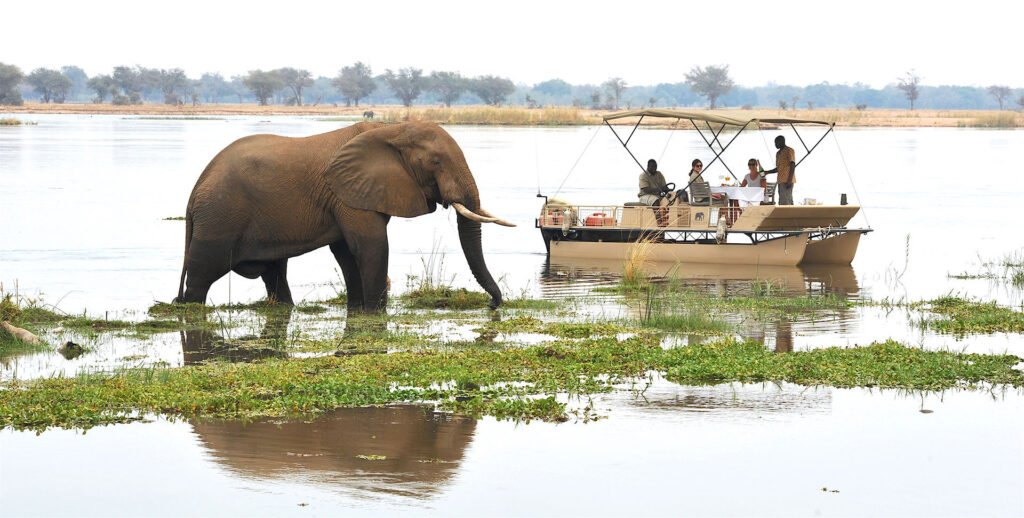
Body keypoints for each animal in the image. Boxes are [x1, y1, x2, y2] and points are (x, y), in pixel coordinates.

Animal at [174, 122, 520, 311]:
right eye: (436, 162)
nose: (492, 304)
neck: (391, 129)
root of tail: (194, 191)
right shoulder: (348, 192)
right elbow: (371, 246)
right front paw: (375, 312)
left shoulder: (354, 193)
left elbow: (346, 252)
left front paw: (359, 309)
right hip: (218, 218)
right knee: (201, 277)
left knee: (274, 274)